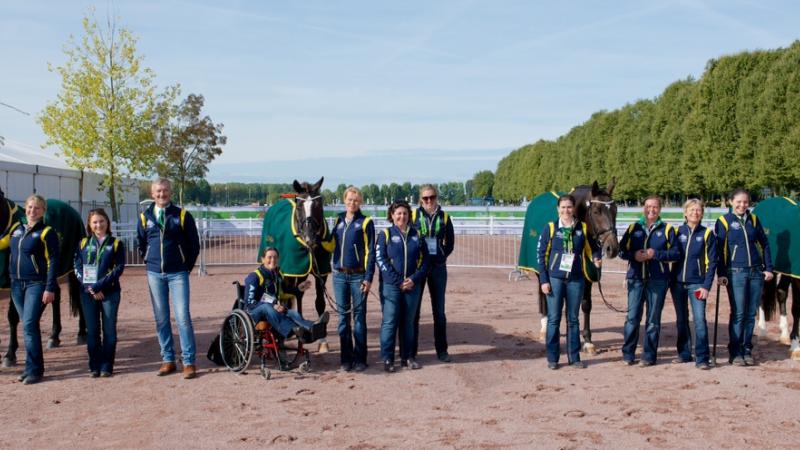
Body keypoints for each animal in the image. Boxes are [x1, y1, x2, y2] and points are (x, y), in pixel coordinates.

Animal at [0, 188, 85, 368]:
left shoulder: (13, 282)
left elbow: (12, 316)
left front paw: (9, 355)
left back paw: (81, 334)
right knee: (54, 294)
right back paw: (54, 336)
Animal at [536, 181, 620, 354]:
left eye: (615, 210)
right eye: (596, 210)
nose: (613, 248)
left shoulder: (585, 277)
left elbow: (586, 305)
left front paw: (588, 341)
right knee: (543, 295)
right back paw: (544, 327)